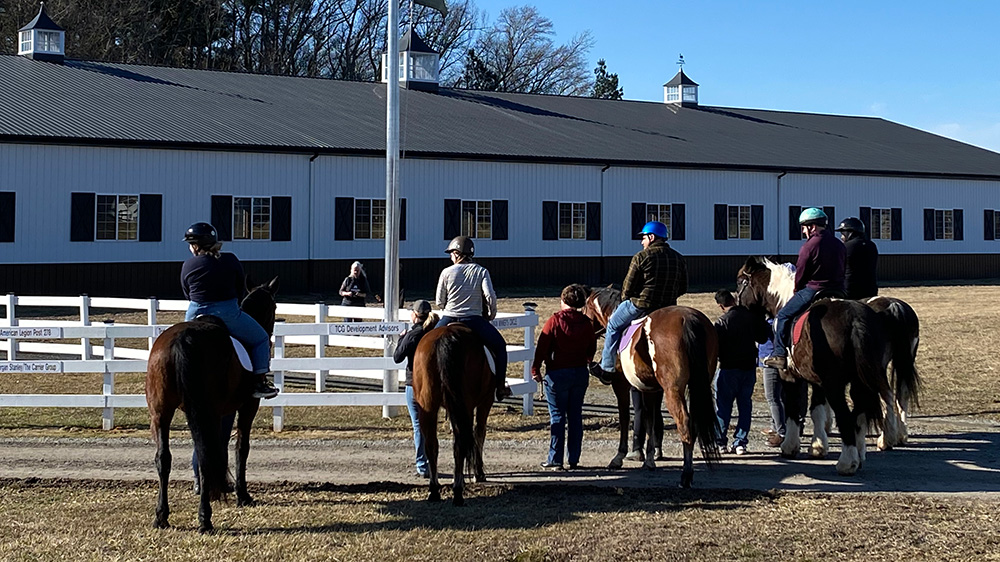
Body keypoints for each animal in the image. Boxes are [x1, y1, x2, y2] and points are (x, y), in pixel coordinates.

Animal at [412, 320, 494, 504]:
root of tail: (446, 336)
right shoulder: (485, 402)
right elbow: (479, 433)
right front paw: (478, 473)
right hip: (466, 406)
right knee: (460, 444)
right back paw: (457, 491)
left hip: (427, 407)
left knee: (431, 445)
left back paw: (434, 490)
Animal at [584, 286, 720, 484]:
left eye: (584, 309)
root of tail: (688, 318)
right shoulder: (650, 390)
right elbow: (651, 420)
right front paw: (649, 459)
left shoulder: (621, 385)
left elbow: (625, 417)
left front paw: (619, 457)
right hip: (698, 386)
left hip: (673, 390)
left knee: (684, 423)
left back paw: (686, 474)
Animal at [736, 258, 900, 472]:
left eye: (740, 282)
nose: (736, 307)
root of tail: (855, 318)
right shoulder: (817, 381)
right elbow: (817, 410)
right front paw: (818, 447)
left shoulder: (790, 376)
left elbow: (793, 409)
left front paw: (790, 447)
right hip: (860, 382)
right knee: (859, 415)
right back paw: (860, 454)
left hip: (835, 385)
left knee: (845, 416)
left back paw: (847, 463)